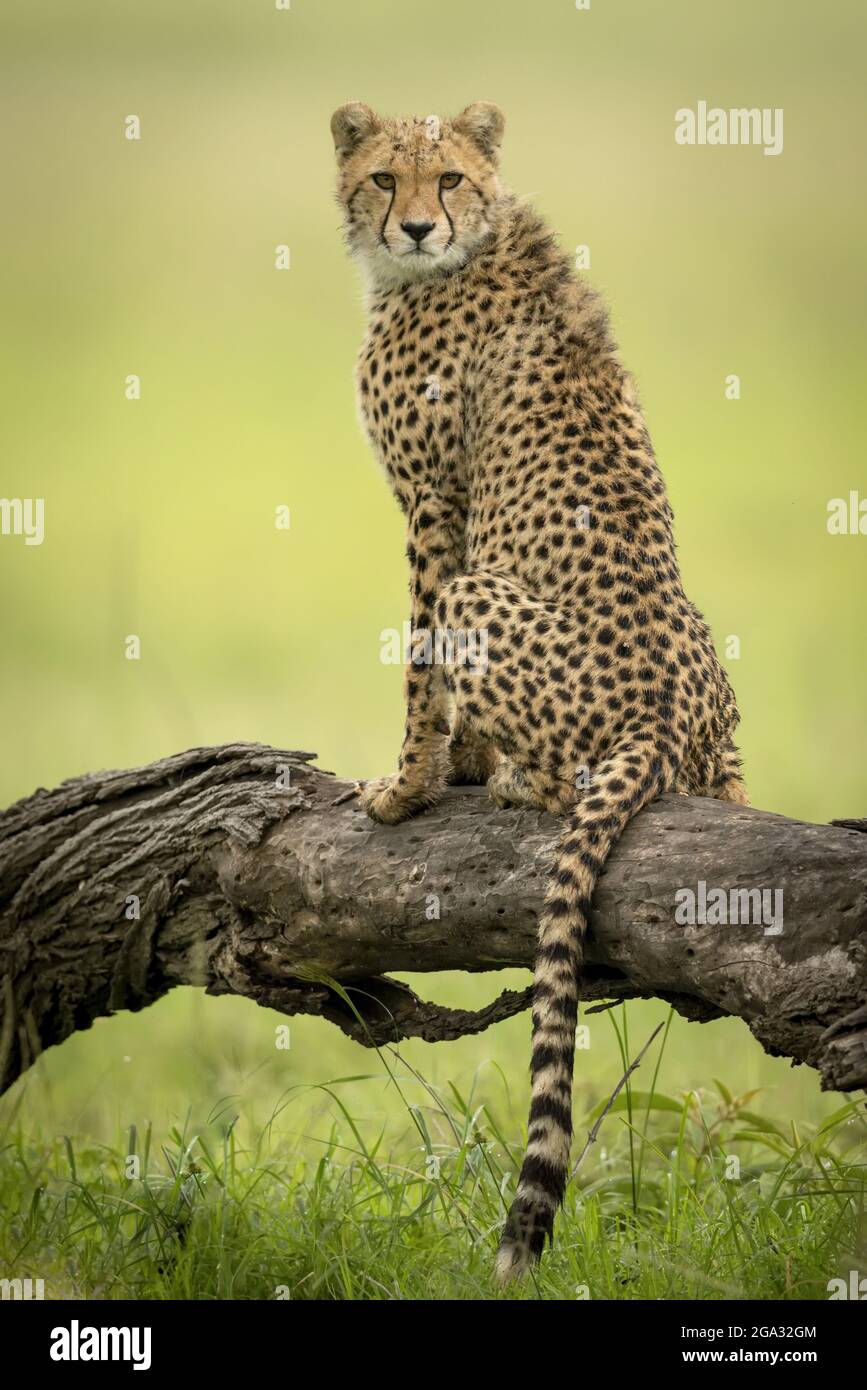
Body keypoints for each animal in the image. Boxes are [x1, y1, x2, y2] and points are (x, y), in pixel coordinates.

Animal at [327, 102, 750, 1284]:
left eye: (450, 179)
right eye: (383, 176)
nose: (417, 226)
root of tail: (663, 716)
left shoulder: (436, 505)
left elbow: (419, 658)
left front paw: (411, 786)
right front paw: (457, 767)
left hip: (487, 587)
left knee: (564, 775)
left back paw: (519, 782)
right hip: (718, 699)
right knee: (730, 790)